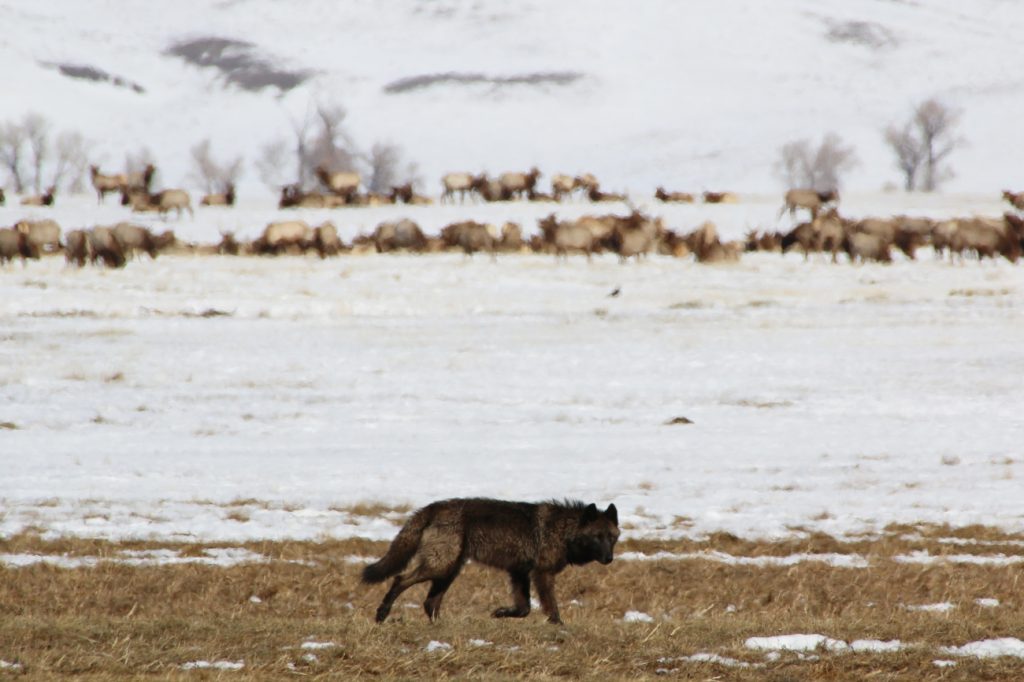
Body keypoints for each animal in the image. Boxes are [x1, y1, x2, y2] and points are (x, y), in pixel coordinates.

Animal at [362, 497, 619, 624]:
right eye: (597, 537)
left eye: (612, 538)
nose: (609, 559)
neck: (565, 531)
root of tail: (432, 507)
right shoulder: (541, 574)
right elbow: (551, 608)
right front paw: (560, 629)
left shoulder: (519, 573)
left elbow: (524, 609)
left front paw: (500, 613)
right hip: (440, 567)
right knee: (400, 579)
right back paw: (382, 614)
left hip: (449, 571)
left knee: (430, 602)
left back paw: (442, 629)